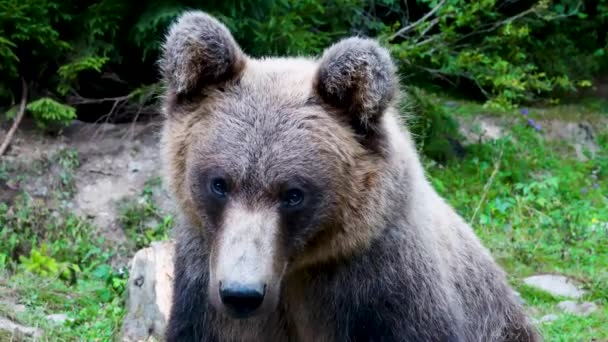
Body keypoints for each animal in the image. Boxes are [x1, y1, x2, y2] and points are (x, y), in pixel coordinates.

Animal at [159, 10, 540, 342]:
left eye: (293, 193)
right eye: (219, 183)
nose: (241, 293)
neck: (298, 269)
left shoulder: (382, 289)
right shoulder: (204, 287)